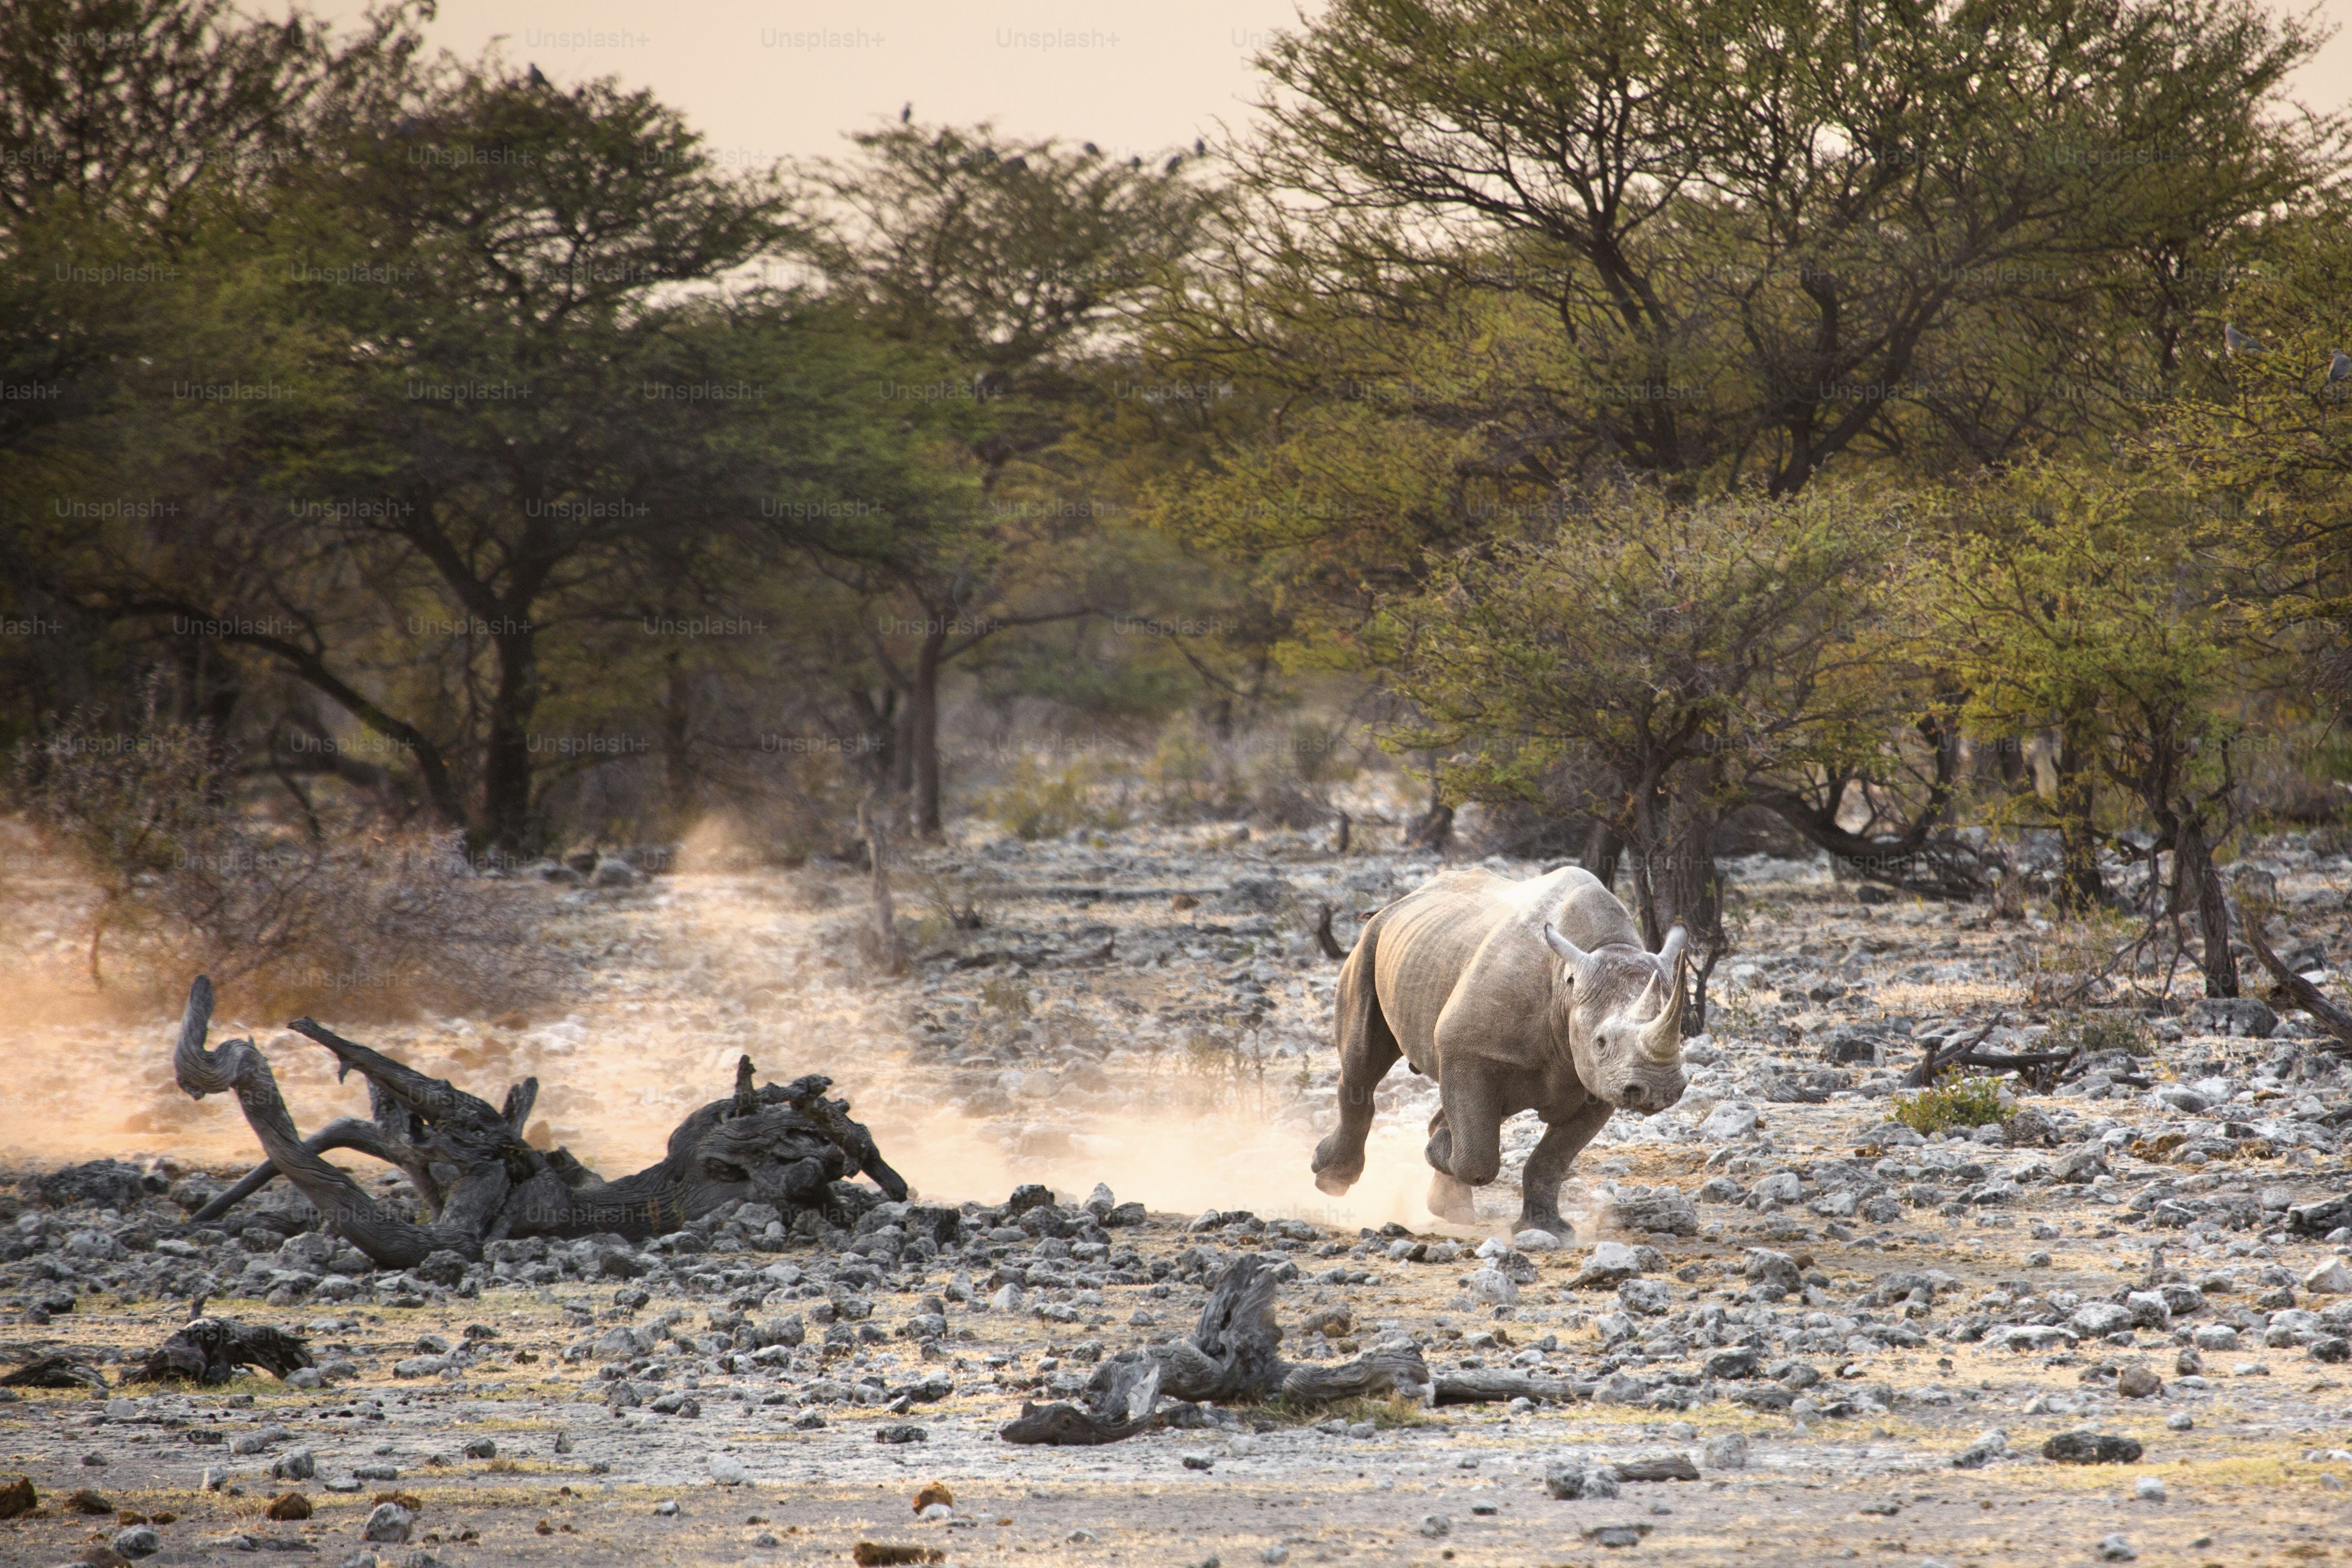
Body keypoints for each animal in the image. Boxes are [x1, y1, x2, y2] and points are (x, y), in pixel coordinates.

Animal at [1309, 865, 1690, 1237]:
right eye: (1601, 1042)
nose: (1659, 1090)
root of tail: (1400, 902)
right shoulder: (1465, 1047)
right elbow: (1477, 1158)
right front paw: (1440, 1149)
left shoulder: (1600, 1085)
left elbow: (1551, 1160)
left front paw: (1548, 1230)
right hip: (1371, 943)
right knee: (1363, 1068)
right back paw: (1332, 1180)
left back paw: (1451, 1207)